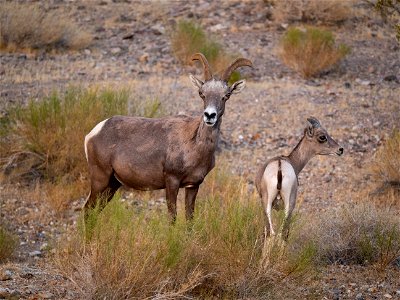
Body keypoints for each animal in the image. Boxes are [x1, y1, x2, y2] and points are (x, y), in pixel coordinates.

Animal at [84, 52, 253, 220]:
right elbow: (172, 218)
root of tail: (94, 132)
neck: (195, 146)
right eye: (202, 94)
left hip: (112, 184)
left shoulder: (193, 186)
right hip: (100, 179)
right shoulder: (172, 182)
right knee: (87, 209)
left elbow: (189, 219)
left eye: (227, 95)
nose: (209, 115)